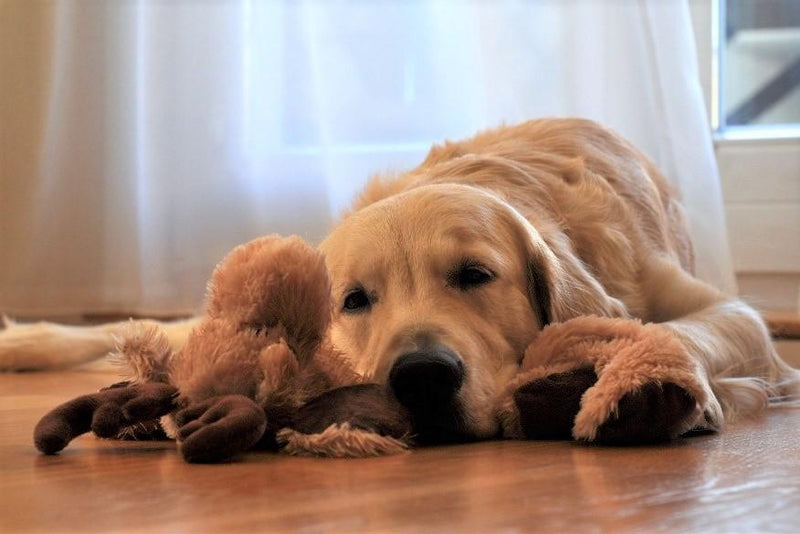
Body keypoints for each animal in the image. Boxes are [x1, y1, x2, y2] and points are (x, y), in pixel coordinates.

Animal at [3, 120, 796, 444]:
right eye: (355, 300)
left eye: (475, 275)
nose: (420, 377)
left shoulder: (725, 311)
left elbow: (684, 329)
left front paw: (653, 387)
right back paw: (24, 341)